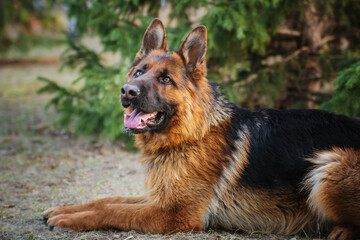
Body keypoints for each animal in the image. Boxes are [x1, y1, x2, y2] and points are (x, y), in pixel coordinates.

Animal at [43, 19, 360, 240]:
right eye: (139, 72)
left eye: (166, 79)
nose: (127, 91)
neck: (192, 135)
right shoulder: (160, 197)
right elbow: (108, 200)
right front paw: (63, 210)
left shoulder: (172, 214)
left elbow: (115, 210)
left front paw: (70, 220)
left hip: (329, 165)